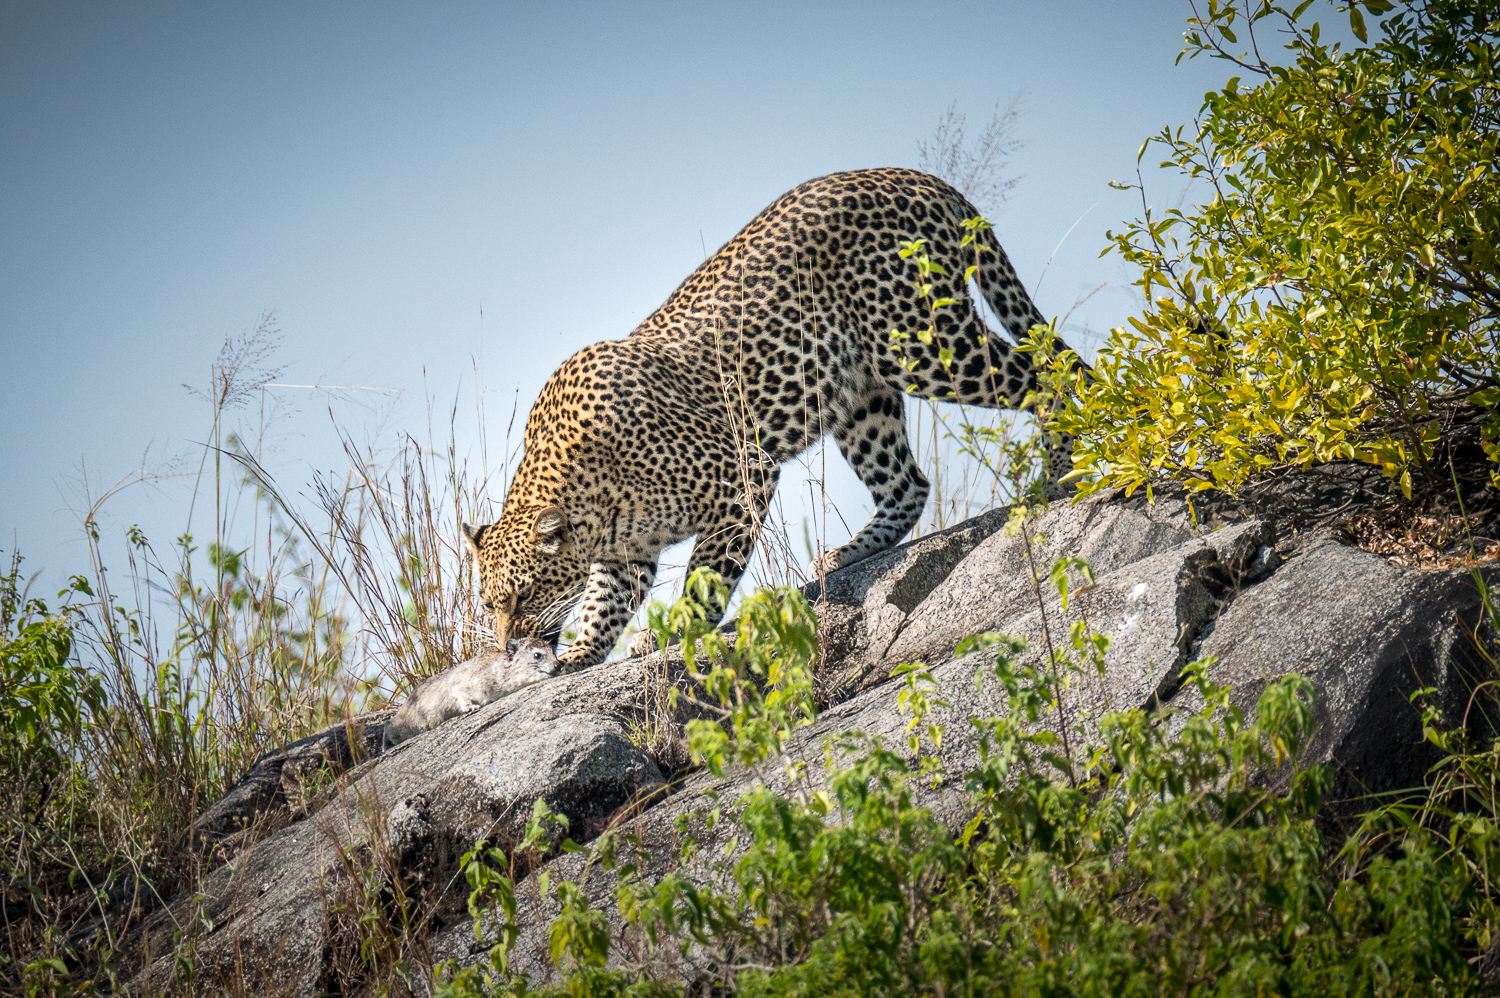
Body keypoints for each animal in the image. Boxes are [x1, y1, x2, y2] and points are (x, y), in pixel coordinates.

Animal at [462, 167, 1086, 669]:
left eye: (522, 596)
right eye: (491, 603)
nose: (507, 649)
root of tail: (914, 175)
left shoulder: (742, 476)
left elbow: (707, 574)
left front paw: (673, 633)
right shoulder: (626, 553)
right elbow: (601, 606)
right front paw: (582, 654)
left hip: (926, 343)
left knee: (1048, 369)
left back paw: (1058, 472)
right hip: (860, 397)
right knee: (907, 483)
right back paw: (846, 554)